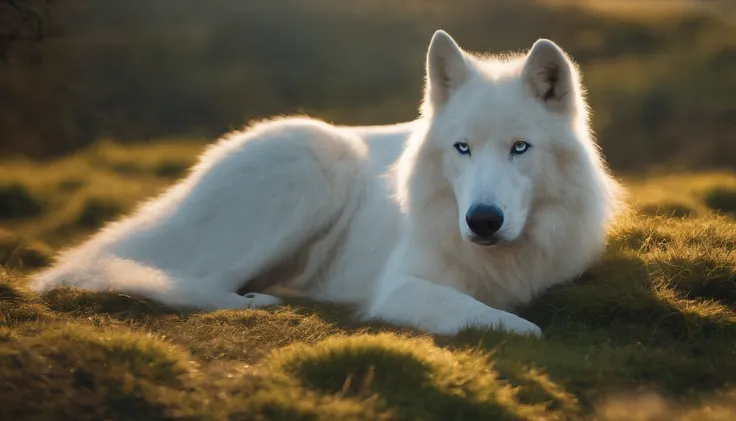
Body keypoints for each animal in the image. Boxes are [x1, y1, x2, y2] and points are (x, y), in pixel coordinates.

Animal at [28, 29, 620, 336]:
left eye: (520, 148)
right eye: (462, 148)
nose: (482, 221)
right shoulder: (401, 286)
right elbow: (485, 315)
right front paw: (518, 327)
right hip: (314, 163)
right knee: (174, 279)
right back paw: (258, 302)